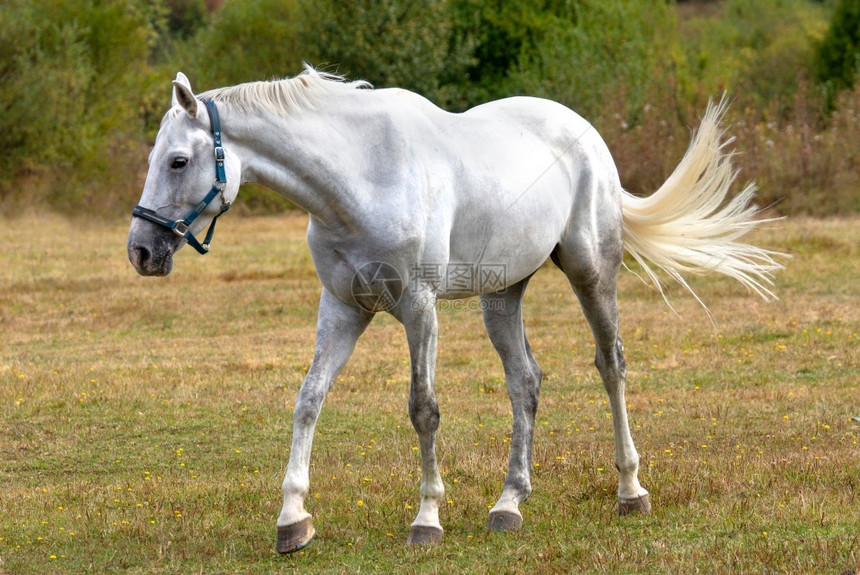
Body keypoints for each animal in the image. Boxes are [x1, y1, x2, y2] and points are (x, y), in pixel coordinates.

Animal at [126, 67, 780, 552]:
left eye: (178, 161)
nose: (141, 251)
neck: (358, 178)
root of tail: (585, 132)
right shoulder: (342, 309)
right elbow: (308, 399)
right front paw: (293, 520)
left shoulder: (419, 308)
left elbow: (424, 409)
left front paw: (427, 519)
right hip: (502, 296)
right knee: (525, 382)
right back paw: (509, 502)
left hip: (592, 273)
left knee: (610, 364)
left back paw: (630, 491)